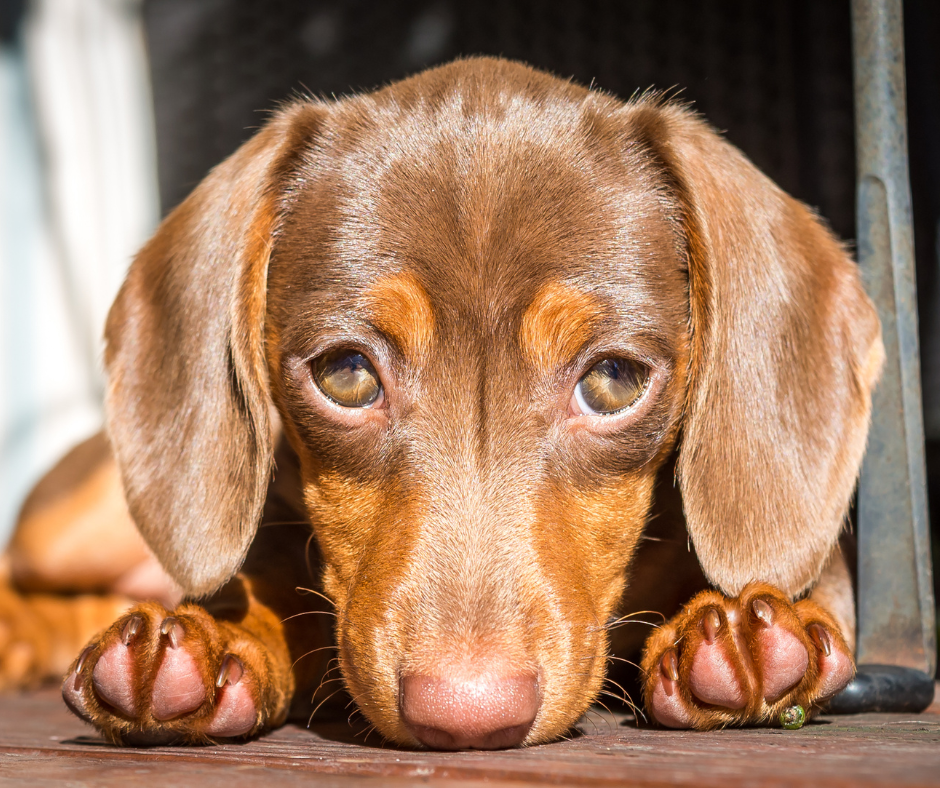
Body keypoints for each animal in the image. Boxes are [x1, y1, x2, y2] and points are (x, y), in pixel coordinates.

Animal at [0, 58, 880, 748]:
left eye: (613, 381)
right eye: (346, 373)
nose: (468, 716)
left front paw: (746, 630)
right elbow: (268, 592)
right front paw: (215, 639)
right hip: (78, 523)